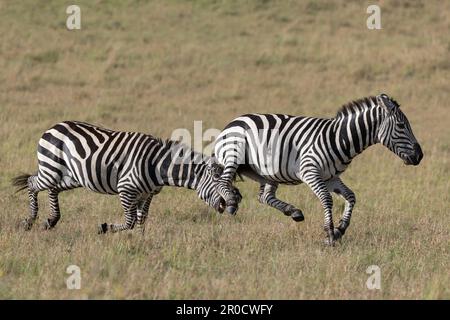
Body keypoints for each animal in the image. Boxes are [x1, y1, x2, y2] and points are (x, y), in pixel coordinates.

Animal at [11, 121, 239, 234]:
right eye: (218, 183)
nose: (235, 203)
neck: (157, 165)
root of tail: (54, 126)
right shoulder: (126, 189)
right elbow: (129, 221)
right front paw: (105, 228)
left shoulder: (147, 194)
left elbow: (141, 219)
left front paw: (141, 242)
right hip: (51, 169)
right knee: (32, 183)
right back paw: (29, 221)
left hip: (70, 176)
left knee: (53, 189)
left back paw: (51, 221)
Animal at [213, 94, 424, 244]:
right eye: (401, 125)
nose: (420, 156)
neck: (339, 138)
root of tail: (234, 121)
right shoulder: (310, 171)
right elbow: (327, 199)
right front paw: (329, 233)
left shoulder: (331, 177)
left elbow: (351, 196)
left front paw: (341, 229)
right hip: (234, 154)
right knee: (223, 182)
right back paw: (230, 202)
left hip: (267, 172)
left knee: (264, 197)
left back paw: (293, 211)